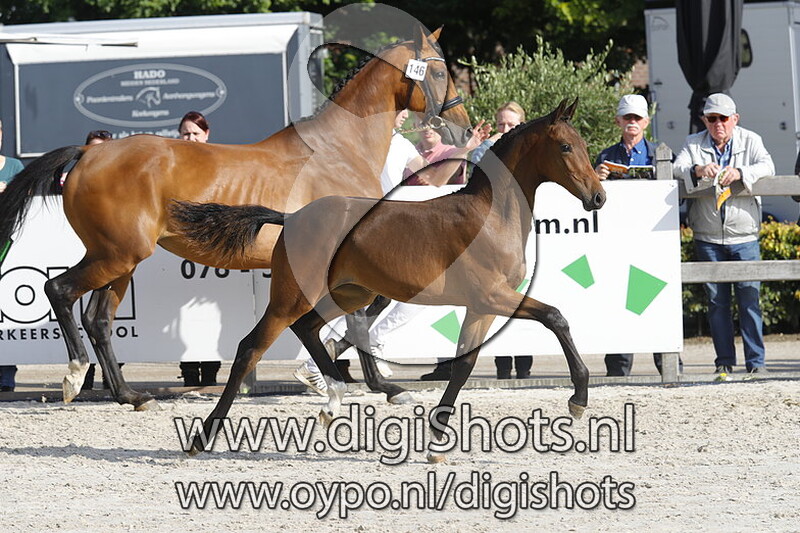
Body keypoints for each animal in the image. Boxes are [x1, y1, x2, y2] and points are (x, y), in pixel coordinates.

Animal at [0, 26, 472, 410]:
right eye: (436, 73)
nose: (464, 130)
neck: (338, 150)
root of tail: (89, 153)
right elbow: (360, 312)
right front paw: (371, 383)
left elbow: (359, 311)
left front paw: (346, 379)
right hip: (116, 255)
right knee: (58, 290)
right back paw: (75, 374)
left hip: (119, 260)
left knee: (98, 320)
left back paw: (132, 396)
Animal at [170, 98, 607, 459]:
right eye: (565, 147)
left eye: (584, 146)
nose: (598, 197)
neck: (492, 216)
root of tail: (292, 217)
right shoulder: (493, 295)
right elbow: (555, 317)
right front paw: (579, 398)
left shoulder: (481, 305)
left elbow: (464, 364)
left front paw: (436, 441)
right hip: (292, 295)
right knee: (251, 347)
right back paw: (202, 438)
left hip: (349, 293)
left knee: (309, 328)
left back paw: (334, 400)